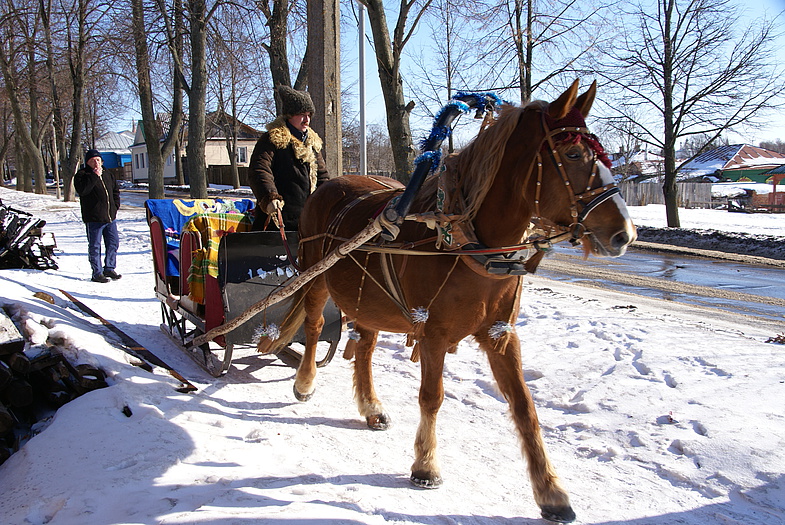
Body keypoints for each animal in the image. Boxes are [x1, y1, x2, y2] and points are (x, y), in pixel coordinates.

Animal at [260, 80, 632, 520]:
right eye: (573, 154)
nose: (624, 234)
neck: (467, 240)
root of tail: (330, 186)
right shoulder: (434, 333)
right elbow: (432, 397)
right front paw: (425, 465)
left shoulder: (501, 334)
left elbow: (525, 407)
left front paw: (551, 490)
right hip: (317, 277)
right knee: (315, 326)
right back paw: (305, 382)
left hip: (367, 298)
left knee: (364, 346)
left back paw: (371, 406)